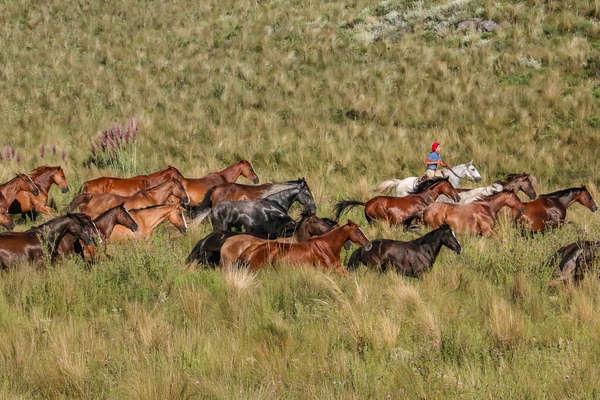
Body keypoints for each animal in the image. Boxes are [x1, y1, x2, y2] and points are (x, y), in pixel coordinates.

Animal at [332, 178, 460, 225]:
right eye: (450, 186)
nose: (458, 197)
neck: (423, 199)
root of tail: (367, 203)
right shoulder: (419, 218)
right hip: (382, 221)